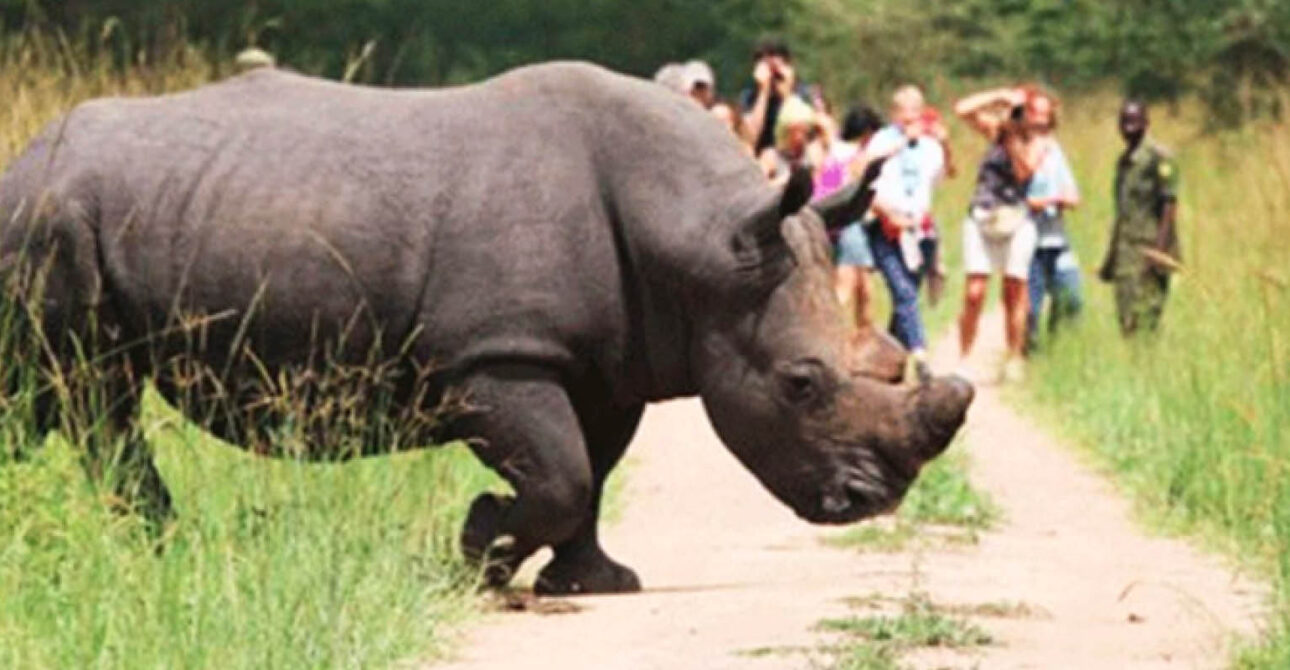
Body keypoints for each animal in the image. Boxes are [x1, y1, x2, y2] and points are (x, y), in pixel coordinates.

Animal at [0, 63, 971, 595]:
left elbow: (589, 473)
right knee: (89, 397)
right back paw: (166, 549)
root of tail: (25, 155)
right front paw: (475, 549)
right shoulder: (498, 356)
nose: (871, 502)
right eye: (801, 385)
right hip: (53, 220)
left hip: (75, 215)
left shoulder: (605, 360)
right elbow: (561, 474)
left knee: (49, 401)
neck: (702, 245)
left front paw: (593, 583)